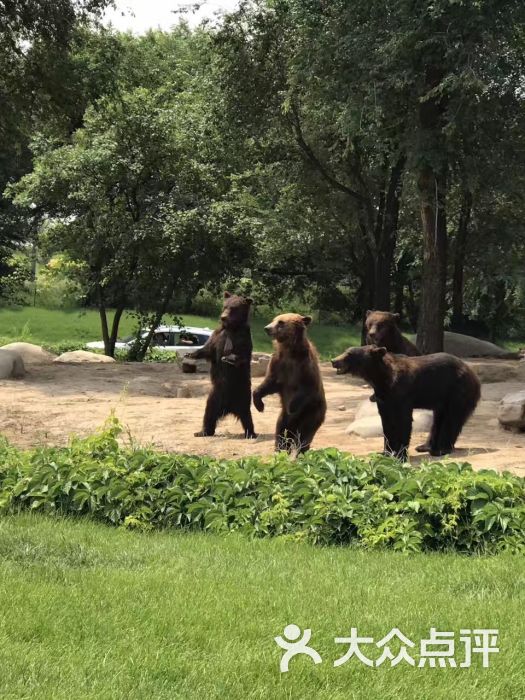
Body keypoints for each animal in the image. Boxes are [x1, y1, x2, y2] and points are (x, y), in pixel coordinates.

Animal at [188, 290, 256, 438]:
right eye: (225, 306)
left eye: (233, 308)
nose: (223, 317)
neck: (232, 328)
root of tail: (228, 407)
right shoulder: (218, 336)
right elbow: (208, 350)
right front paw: (190, 354)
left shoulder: (242, 338)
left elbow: (241, 355)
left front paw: (230, 358)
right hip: (216, 394)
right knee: (209, 411)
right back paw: (203, 431)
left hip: (242, 393)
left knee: (247, 416)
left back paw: (251, 433)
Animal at [252, 314, 326, 454]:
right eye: (273, 319)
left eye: (281, 322)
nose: (267, 328)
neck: (289, 351)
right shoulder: (278, 364)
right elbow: (269, 383)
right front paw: (259, 405)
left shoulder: (305, 366)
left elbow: (307, 387)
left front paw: (292, 406)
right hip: (284, 419)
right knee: (281, 434)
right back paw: (280, 451)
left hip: (312, 413)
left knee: (304, 437)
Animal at [332, 344, 478, 460]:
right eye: (346, 351)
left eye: (349, 354)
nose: (334, 360)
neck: (381, 379)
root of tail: (472, 373)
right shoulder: (384, 398)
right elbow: (387, 422)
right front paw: (386, 452)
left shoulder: (401, 392)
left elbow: (403, 421)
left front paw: (400, 455)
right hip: (441, 397)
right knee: (438, 420)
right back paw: (424, 446)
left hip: (457, 391)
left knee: (451, 418)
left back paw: (440, 450)